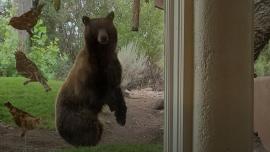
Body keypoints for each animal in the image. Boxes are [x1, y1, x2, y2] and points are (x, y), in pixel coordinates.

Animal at [55, 12, 127, 147]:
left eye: (106, 26)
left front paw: (121, 116)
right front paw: (112, 104)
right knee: (87, 125)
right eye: (96, 28)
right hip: (75, 113)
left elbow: (116, 87)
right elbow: (94, 94)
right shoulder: (88, 74)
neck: (101, 55)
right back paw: (89, 139)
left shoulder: (112, 65)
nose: (103, 37)